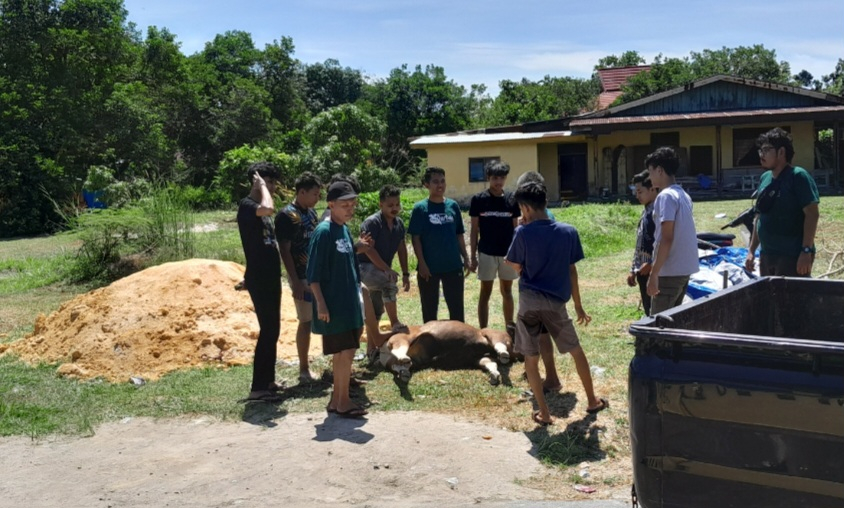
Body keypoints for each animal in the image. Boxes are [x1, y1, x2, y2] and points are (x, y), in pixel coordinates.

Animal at [378, 322, 512, 384]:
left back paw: (404, 373)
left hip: (410, 361)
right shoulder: (488, 335)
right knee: (400, 351)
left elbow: (491, 363)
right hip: (403, 339)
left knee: (398, 365)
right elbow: (499, 346)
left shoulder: (479, 358)